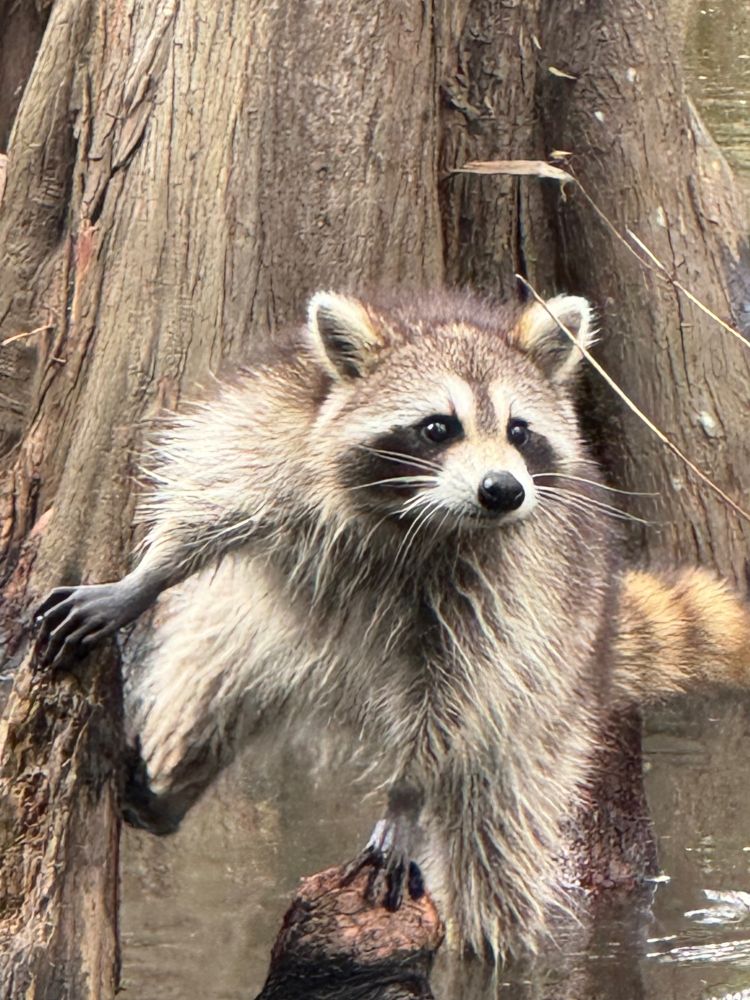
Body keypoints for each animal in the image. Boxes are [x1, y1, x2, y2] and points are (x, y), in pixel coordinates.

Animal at [37, 289, 750, 960]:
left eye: (520, 431)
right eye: (439, 427)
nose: (504, 491)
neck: (414, 512)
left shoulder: (513, 589)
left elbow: (457, 696)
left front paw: (407, 791)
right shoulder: (278, 428)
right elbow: (208, 502)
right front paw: (143, 576)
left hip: (549, 702)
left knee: (495, 840)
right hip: (249, 626)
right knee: (209, 682)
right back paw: (173, 783)